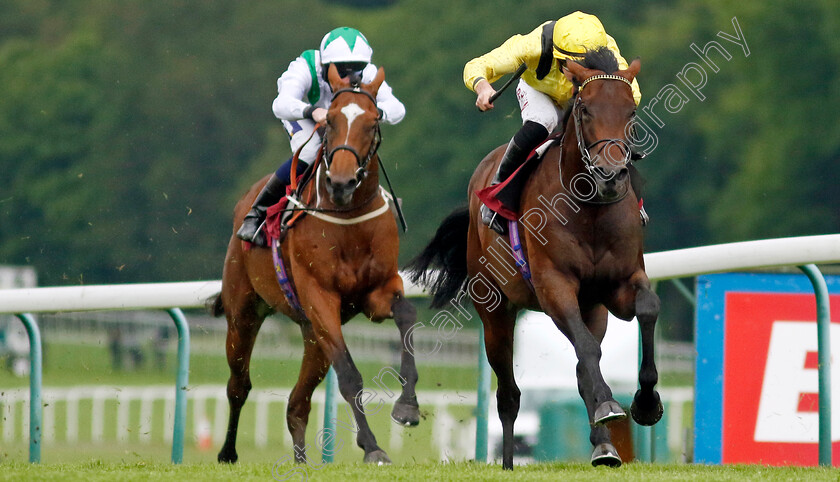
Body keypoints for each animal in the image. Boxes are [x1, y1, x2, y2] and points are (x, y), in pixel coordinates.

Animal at [213, 65, 416, 466]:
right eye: (331, 120)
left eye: (373, 121)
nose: (341, 182)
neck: (348, 218)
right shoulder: (320, 298)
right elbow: (350, 376)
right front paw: (372, 447)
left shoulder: (378, 290)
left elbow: (407, 317)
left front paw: (408, 406)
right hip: (244, 313)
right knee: (238, 385)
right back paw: (228, 452)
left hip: (312, 334)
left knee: (297, 403)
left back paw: (302, 462)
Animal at [406, 50, 664, 470]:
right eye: (586, 109)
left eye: (631, 112)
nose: (610, 176)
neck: (589, 207)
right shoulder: (553, 285)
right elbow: (587, 351)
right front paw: (611, 404)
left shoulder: (620, 283)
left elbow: (647, 309)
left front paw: (645, 404)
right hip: (494, 311)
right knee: (509, 394)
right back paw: (510, 462)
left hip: (593, 310)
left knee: (580, 369)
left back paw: (604, 446)